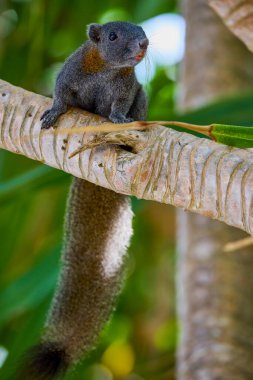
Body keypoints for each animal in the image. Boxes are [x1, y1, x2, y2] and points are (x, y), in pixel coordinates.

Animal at [17, 21, 148, 380]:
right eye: (114, 36)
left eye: (142, 31)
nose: (144, 43)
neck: (105, 70)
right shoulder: (71, 70)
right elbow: (61, 93)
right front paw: (54, 111)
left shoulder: (126, 88)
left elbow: (121, 104)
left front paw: (119, 119)